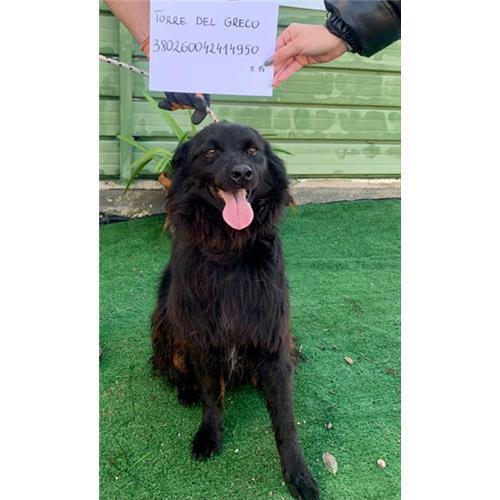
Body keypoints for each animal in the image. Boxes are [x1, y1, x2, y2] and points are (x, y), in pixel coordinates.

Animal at [151, 122, 319, 499]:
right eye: (210, 152)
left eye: (253, 151)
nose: (242, 173)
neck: (229, 249)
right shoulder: (202, 336)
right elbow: (212, 395)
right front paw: (209, 435)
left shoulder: (273, 341)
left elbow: (286, 418)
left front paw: (297, 473)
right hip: (165, 317)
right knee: (172, 366)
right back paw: (186, 390)